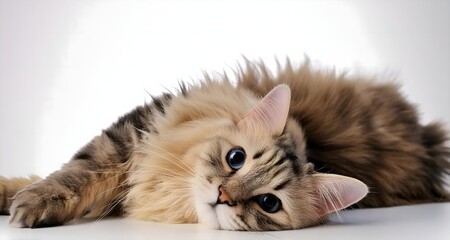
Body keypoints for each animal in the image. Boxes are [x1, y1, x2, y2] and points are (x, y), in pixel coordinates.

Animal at [0, 60, 450, 231]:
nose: (223, 194)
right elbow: (71, 173)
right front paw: (25, 200)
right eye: (236, 159)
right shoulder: (132, 135)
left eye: (269, 203)